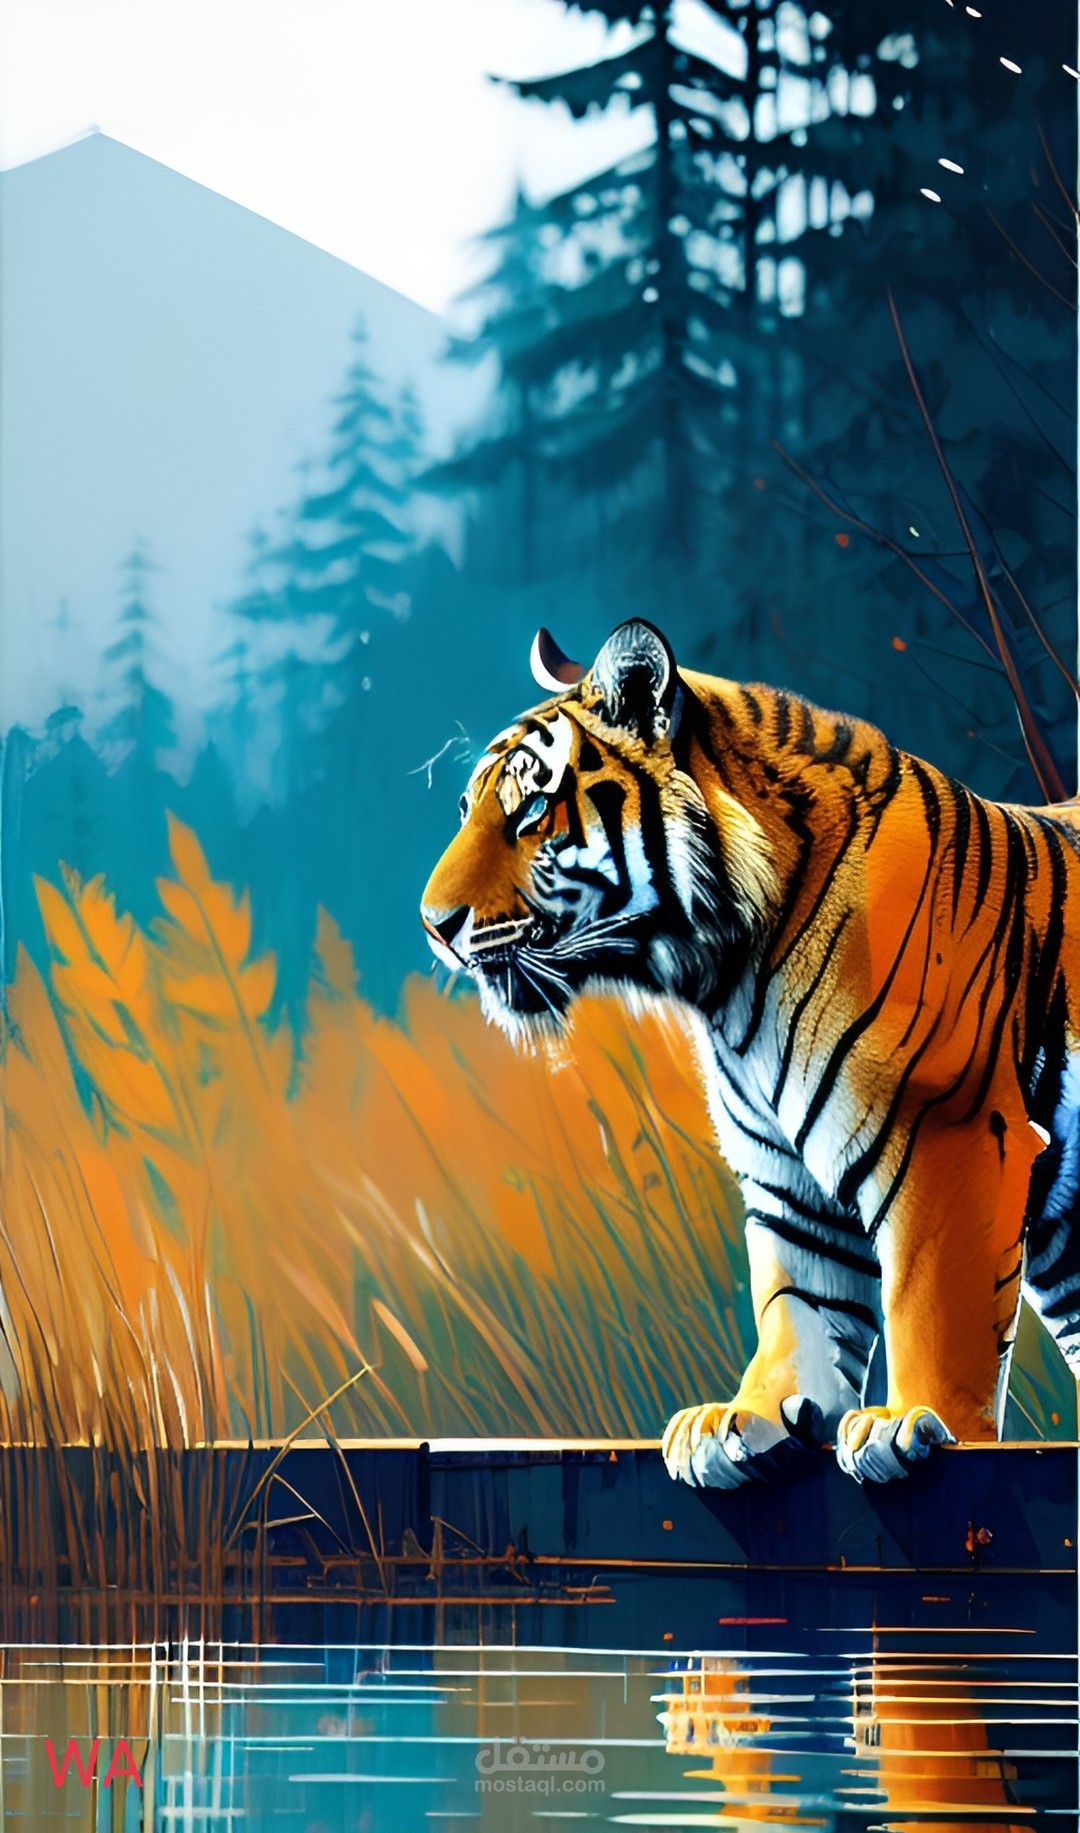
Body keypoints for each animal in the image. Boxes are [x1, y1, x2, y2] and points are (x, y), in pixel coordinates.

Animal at [421, 619, 1080, 1486]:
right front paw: (746, 1416)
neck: (726, 974)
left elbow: (931, 1302)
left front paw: (912, 1421)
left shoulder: (953, 1133)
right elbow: (796, 1301)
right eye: (467, 808)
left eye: (531, 808)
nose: (433, 924)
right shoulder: (786, 1172)